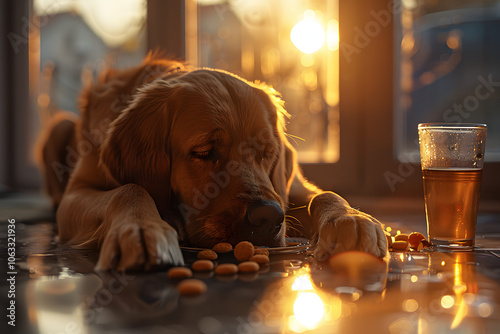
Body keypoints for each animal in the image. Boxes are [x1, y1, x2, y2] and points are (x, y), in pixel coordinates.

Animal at [38, 55, 386, 272]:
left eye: (267, 152)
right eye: (204, 152)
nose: (268, 217)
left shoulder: (287, 187)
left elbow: (325, 194)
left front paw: (351, 219)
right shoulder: (76, 193)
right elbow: (130, 189)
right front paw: (142, 229)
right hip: (58, 128)